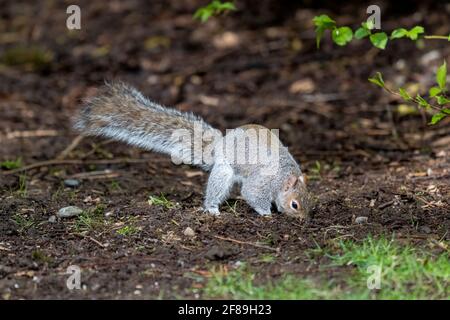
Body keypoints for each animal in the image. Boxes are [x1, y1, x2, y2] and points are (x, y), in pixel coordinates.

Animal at [74, 82, 312, 220]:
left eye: (310, 201)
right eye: (295, 204)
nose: (303, 220)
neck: (283, 176)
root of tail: (220, 145)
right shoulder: (263, 181)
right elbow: (252, 194)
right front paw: (267, 214)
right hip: (224, 170)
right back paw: (213, 208)